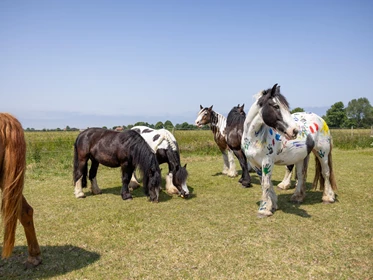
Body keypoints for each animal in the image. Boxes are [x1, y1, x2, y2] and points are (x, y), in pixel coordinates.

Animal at [241, 83, 338, 217]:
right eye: (276, 106)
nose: (294, 131)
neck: (254, 138)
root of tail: (320, 119)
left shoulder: (267, 161)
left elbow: (266, 184)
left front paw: (264, 209)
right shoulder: (255, 164)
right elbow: (265, 183)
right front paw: (272, 204)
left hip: (322, 153)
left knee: (326, 173)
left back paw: (328, 197)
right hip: (302, 156)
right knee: (301, 175)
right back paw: (298, 197)